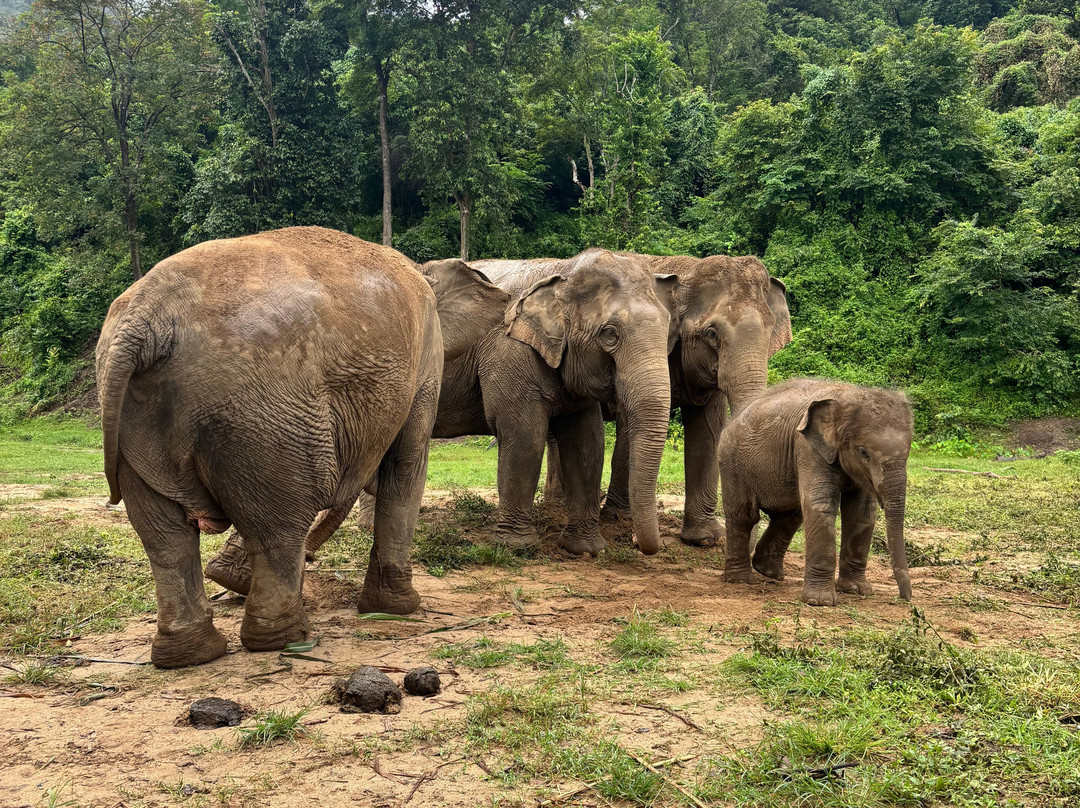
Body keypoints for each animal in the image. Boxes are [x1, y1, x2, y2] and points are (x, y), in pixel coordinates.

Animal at [96, 227, 505, 668]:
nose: (227, 576)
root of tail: (146, 319)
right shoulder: (424, 360)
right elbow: (407, 466)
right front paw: (402, 609)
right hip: (265, 416)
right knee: (277, 527)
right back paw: (286, 638)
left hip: (141, 424)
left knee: (164, 536)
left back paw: (193, 654)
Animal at [478, 253, 792, 548]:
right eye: (712, 334)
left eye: (770, 330)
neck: (688, 268)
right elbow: (630, 423)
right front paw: (619, 519)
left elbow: (708, 431)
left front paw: (704, 540)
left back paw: (558, 504)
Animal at [717, 379, 914, 606]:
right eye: (863, 452)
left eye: (908, 453)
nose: (906, 599)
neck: (849, 396)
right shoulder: (808, 448)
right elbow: (821, 505)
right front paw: (821, 601)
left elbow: (861, 513)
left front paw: (857, 590)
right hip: (732, 464)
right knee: (744, 516)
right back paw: (740, 580)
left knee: (789, 517)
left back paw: (769, 572)